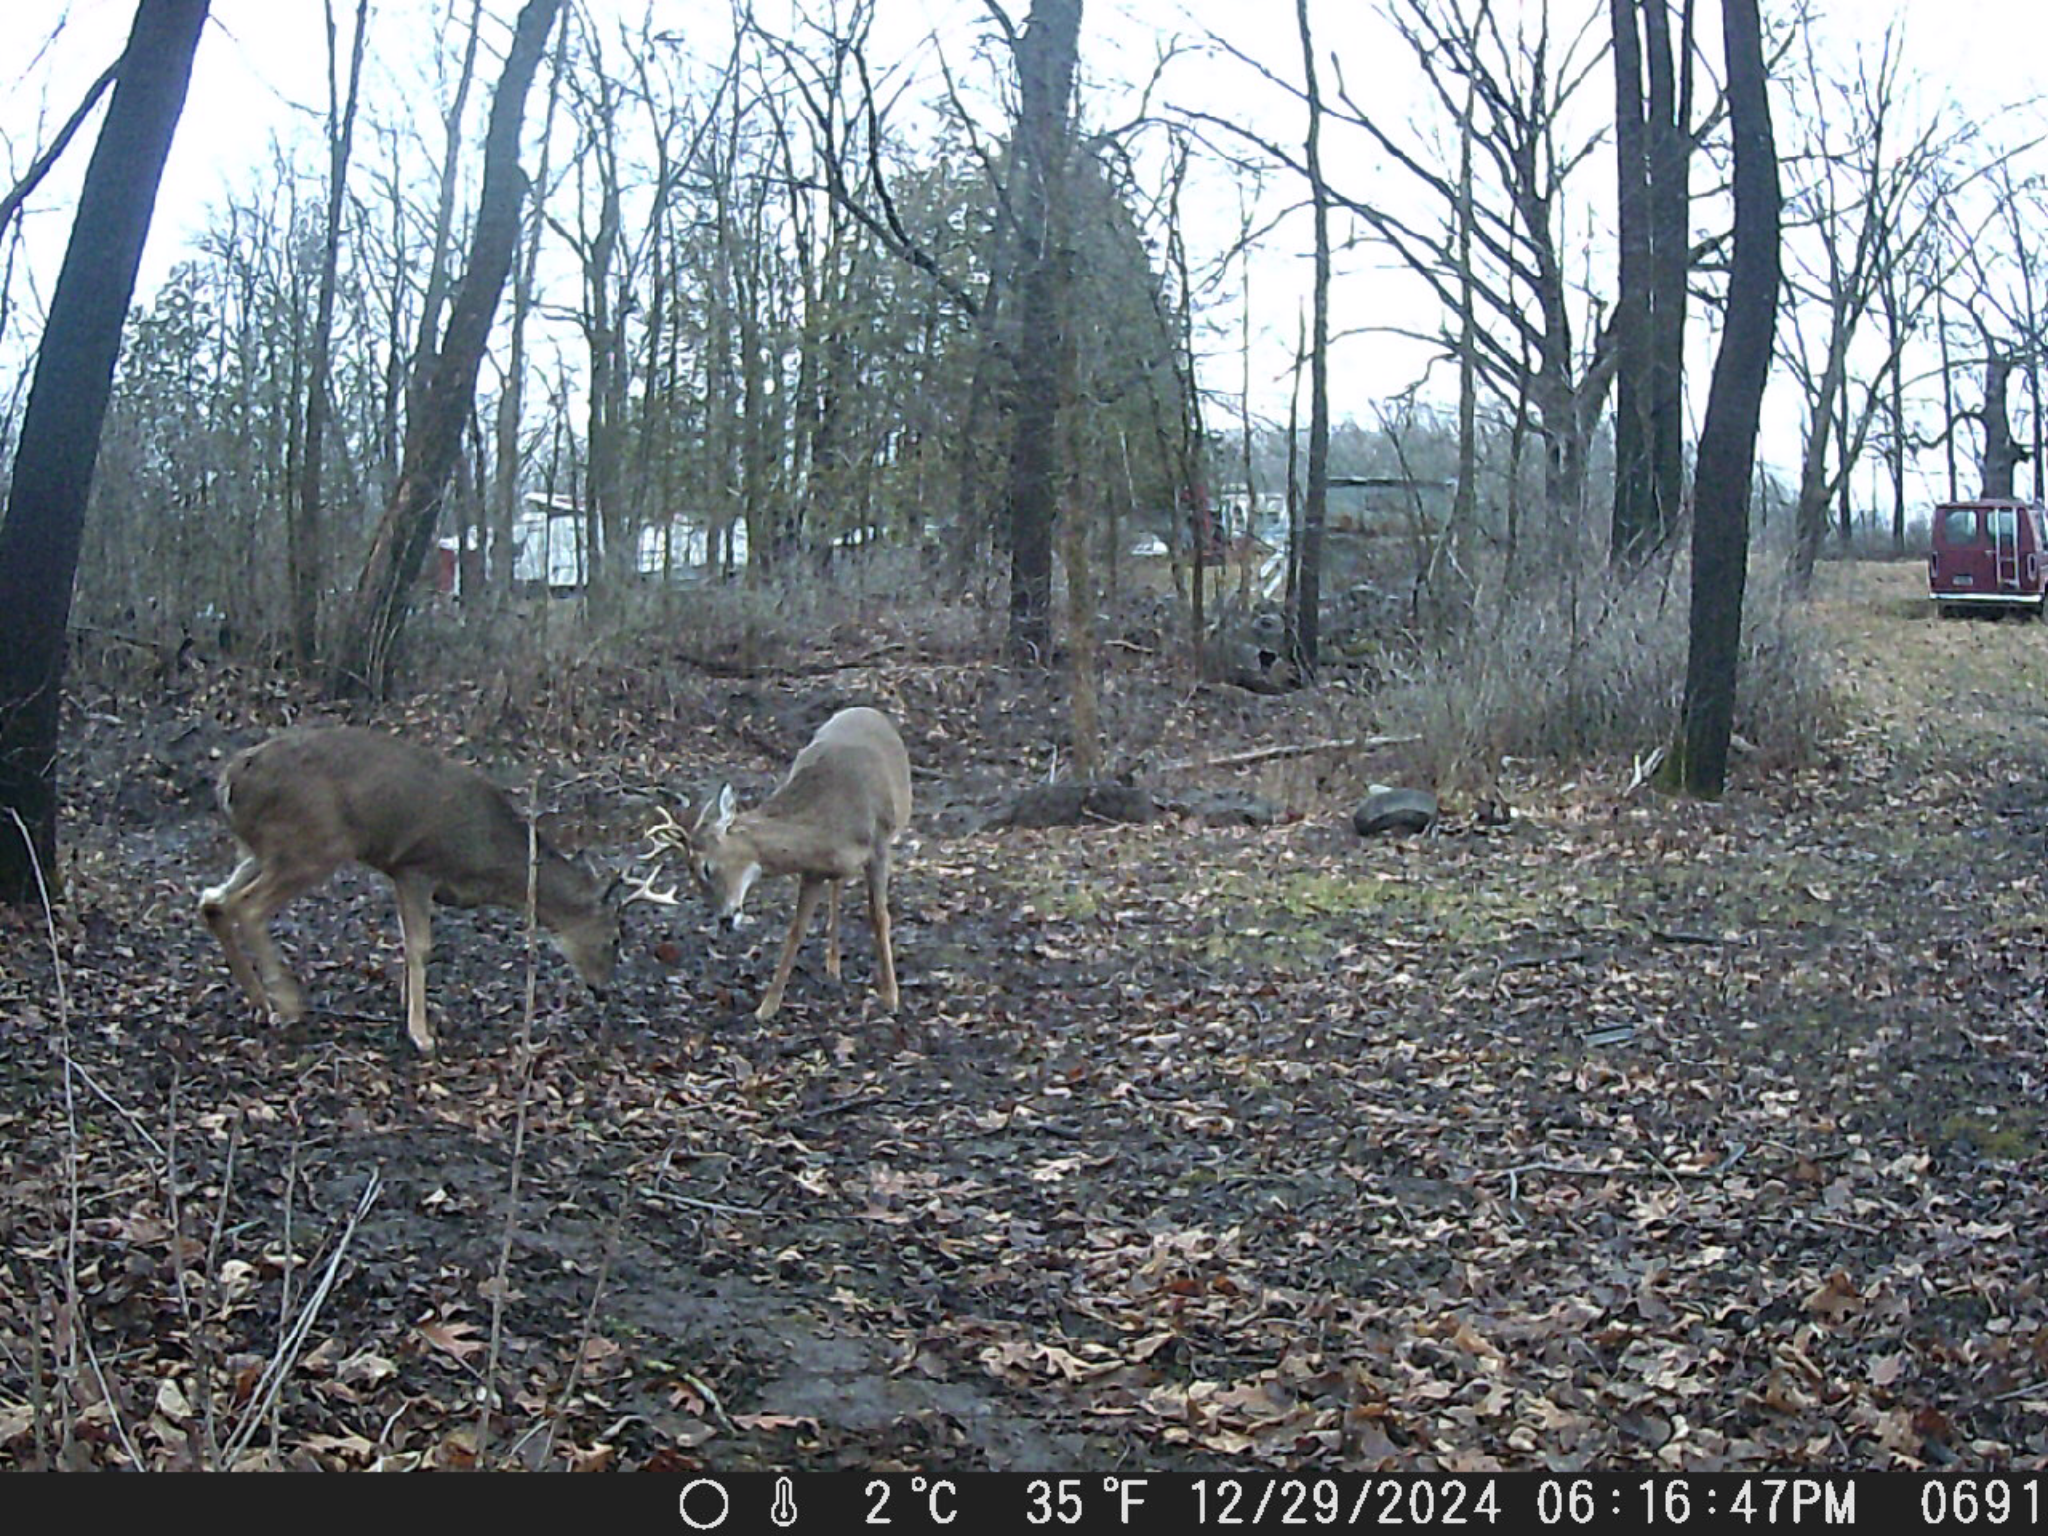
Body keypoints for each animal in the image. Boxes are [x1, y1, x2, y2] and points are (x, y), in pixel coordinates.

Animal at [198, 725, 646, 1055]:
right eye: (615, 938)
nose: (604, 990)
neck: (490, 858)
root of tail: (230, 780)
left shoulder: (405, 872)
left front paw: (408, 1007)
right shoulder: (416, 866)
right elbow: (420, 946)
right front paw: (421, 1033)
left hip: (260, 850)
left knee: (213, 900)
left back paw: (260, 1003)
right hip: (310, 846)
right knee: (247, 907)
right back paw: (287, 1006)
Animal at [647, 706, 911, 1022]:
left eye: (706, 868)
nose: (725, 919)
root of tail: (865, 709)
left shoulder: (879, 847)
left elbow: (879, 917)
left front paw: (891, 997)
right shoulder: (813, 869)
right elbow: (796, 929)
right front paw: (767, 1006)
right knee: (837, 888)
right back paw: (833, 965)